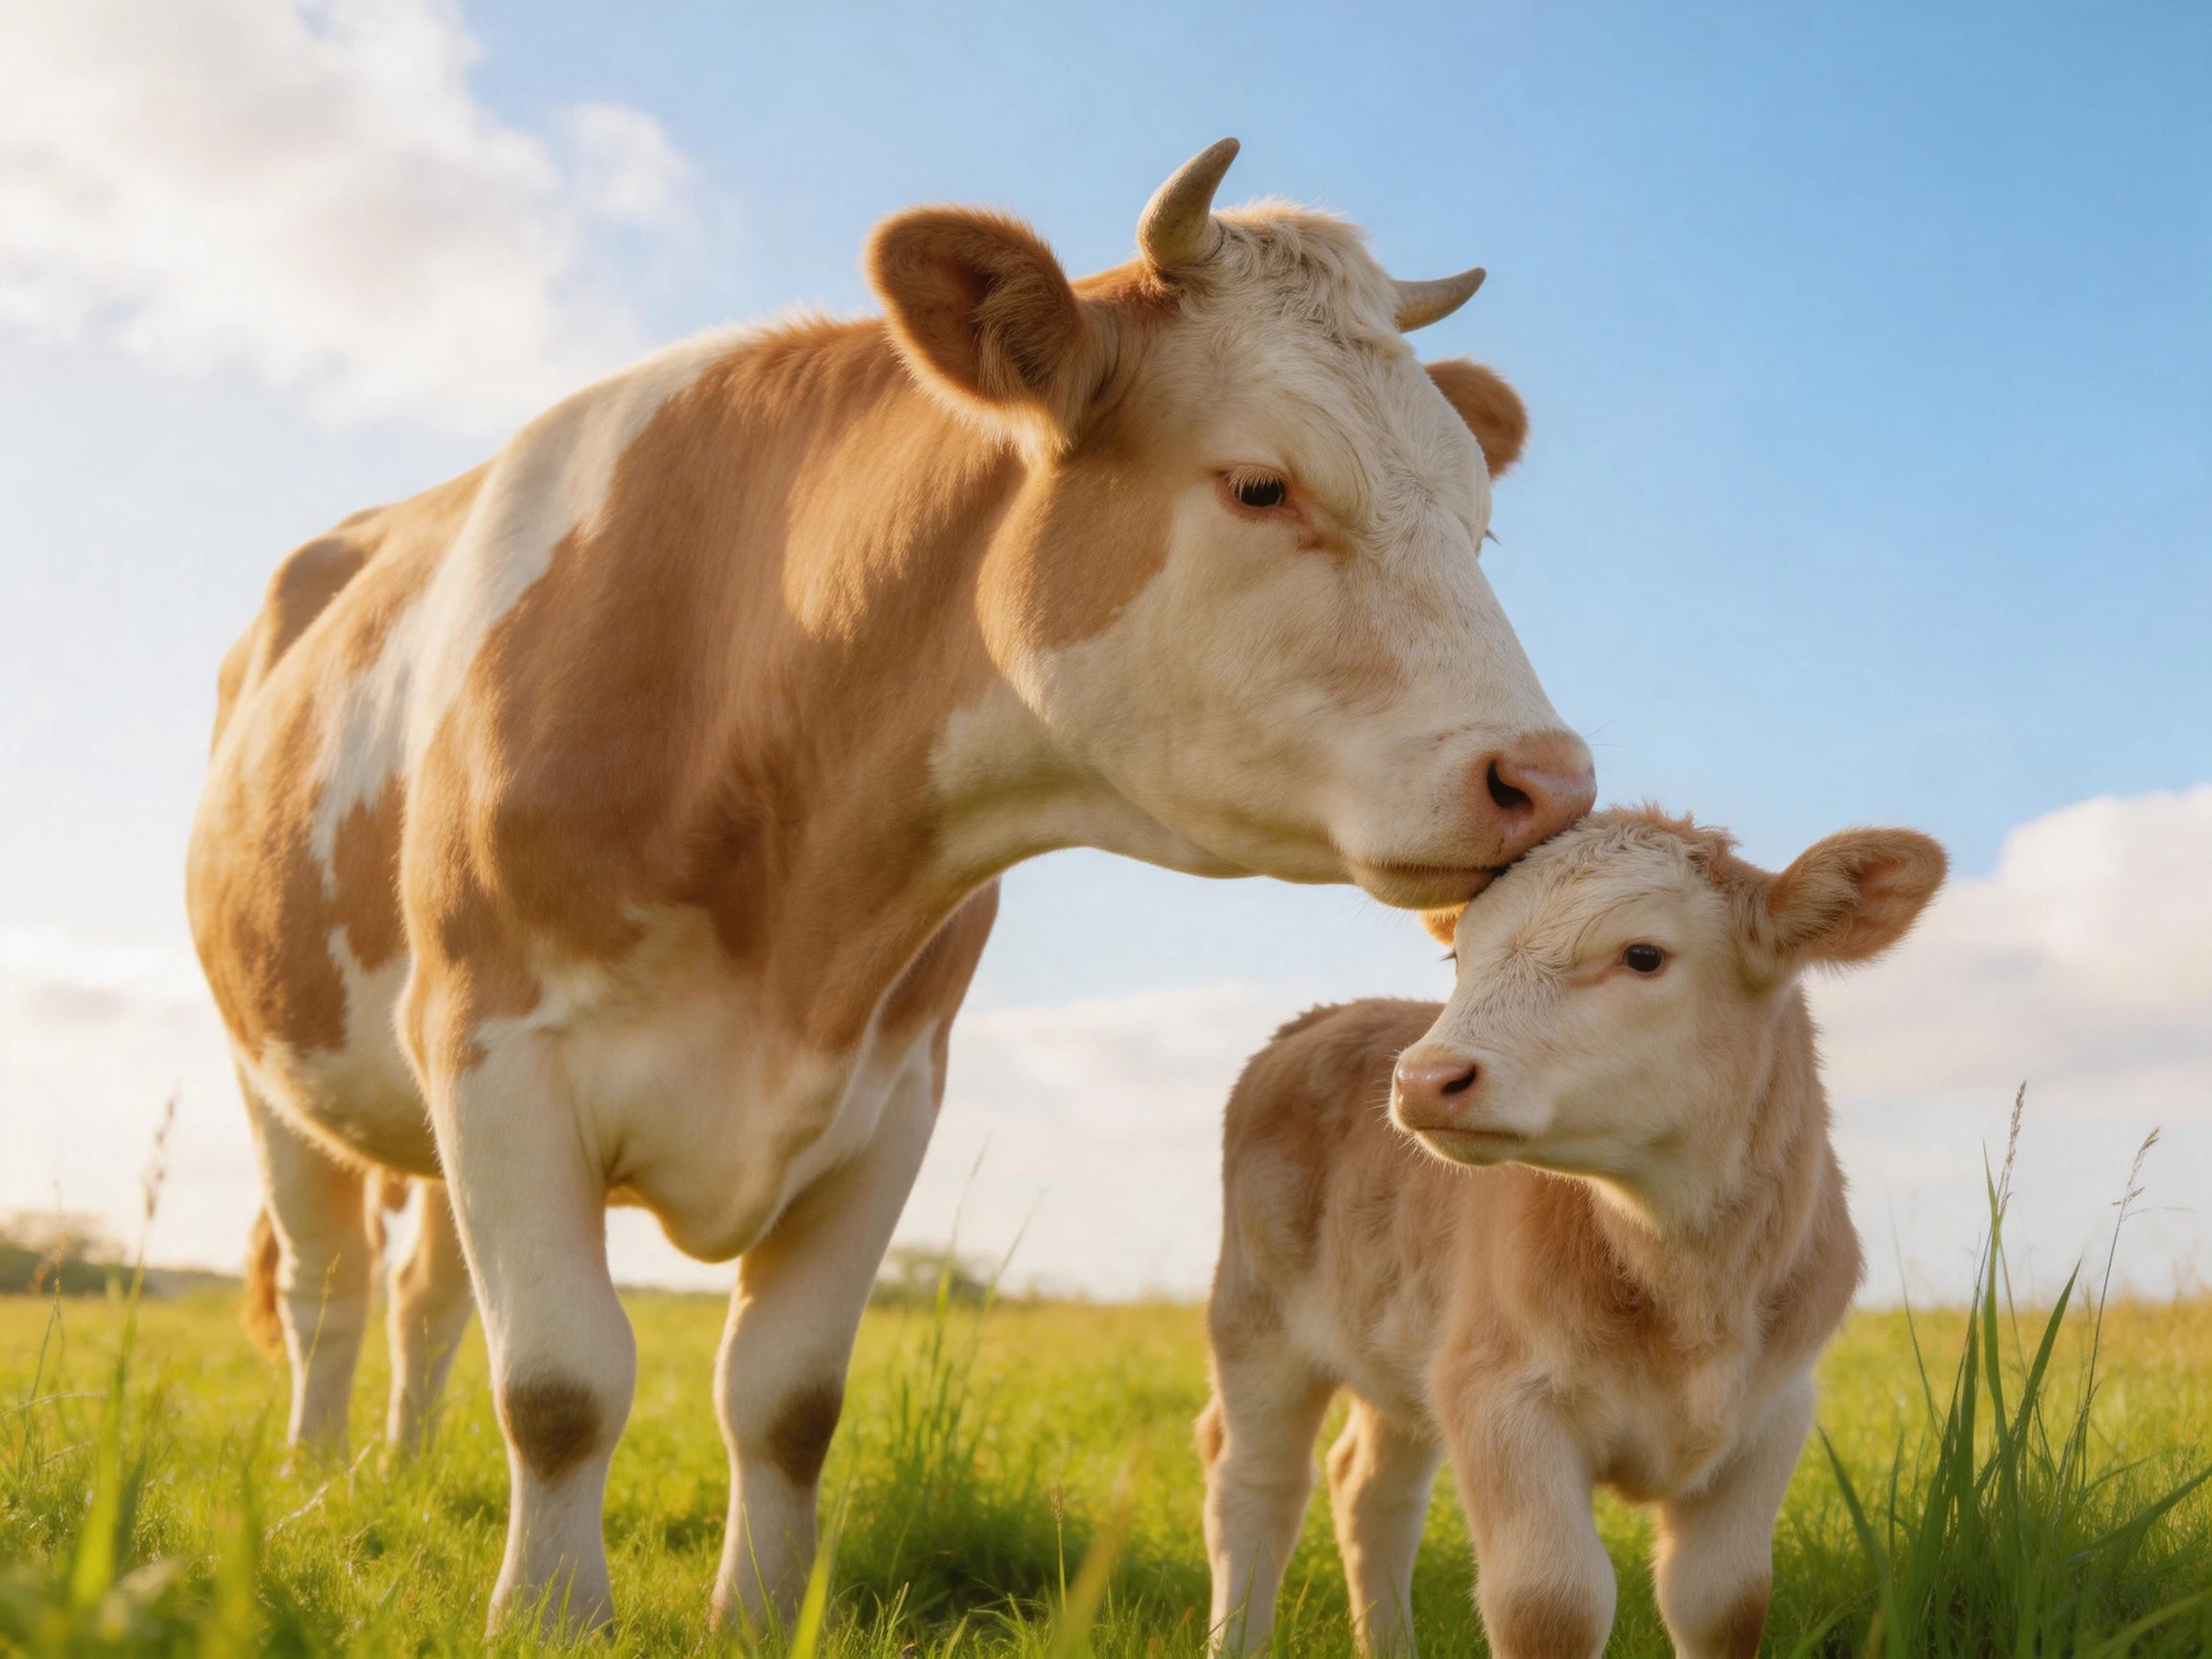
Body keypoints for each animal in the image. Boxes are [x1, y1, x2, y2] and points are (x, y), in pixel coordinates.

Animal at [185, 139, 1595, 1634]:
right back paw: (320, 1480)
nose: (1549, 782)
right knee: (332, 1288)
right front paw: (551, 1618)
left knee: (425, 1293)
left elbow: (787, 1398)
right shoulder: (496, 1050)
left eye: (1480, 523)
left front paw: (758, 1615)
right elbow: (562, 1384)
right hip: (275, 1069)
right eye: (1261, 486)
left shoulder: (892, 1097)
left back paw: (400, 1470)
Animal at [1200, 809, 1945, 1658]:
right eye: (1459, 956)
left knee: (1369, 1488)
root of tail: (1323, 1014)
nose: (1424, 1079)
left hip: (1400, 1350)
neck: (1694, 1284)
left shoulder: (1775, 1411)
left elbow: (1724, 1600)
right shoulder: (1499, 1397)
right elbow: (1551, 1603)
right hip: (1255, 1319)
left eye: (1644, 955)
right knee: (1254, 1484)